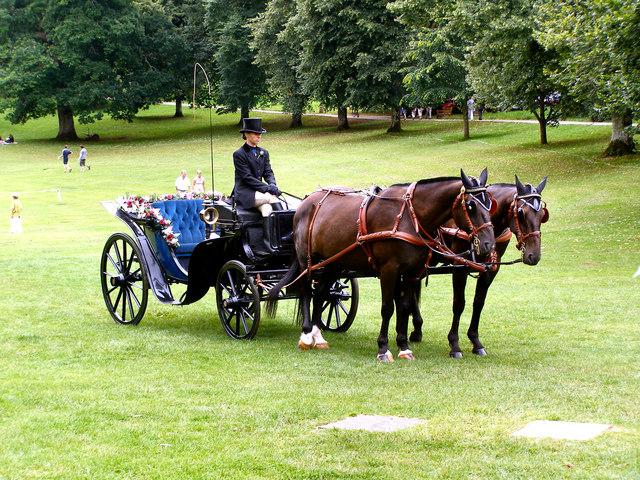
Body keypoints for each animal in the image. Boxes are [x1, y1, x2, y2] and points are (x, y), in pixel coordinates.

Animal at [264, 169, 496, 360]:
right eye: (470, 205)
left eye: (490, 204)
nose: (488, 244)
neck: (409, 217)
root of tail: (306, 202)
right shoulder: (389, 270)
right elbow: (387, 308)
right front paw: (383, 349)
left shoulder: (412, 272)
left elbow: (404, 306)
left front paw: (404, 347)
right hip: (307, 260)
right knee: (306, 291)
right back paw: (305, 335)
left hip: (334, 262)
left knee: (321, 293)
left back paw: (318, 336)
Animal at [410, 175, 552, 356]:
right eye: (520, 213)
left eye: (543, 215)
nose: (534, 255)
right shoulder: (460, 266)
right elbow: (459, 304)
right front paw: (454, 344)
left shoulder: (490, 269)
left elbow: (479, 303)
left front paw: (475, 341)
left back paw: (417, 329)